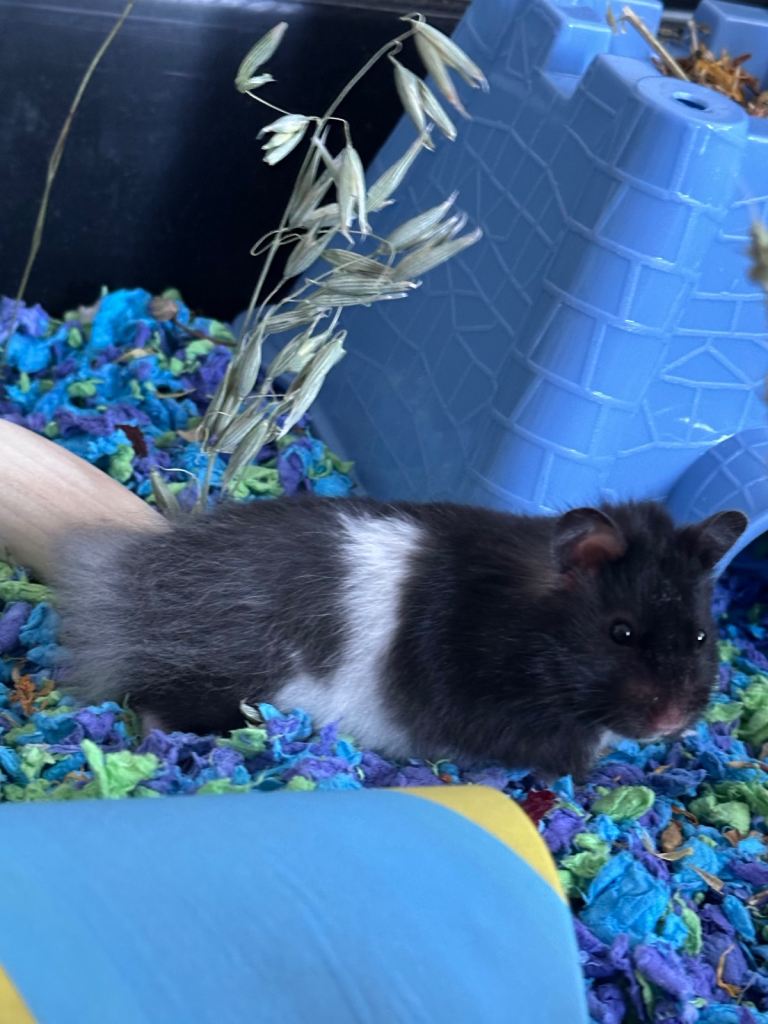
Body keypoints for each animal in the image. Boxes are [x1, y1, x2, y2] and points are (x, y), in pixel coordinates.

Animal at [51, 496, 748, 779]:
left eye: (701, 636)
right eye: (620, 632)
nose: (671, 722)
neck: (523, 629)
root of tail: (127, 589)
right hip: (229, 685)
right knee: (154, 704)